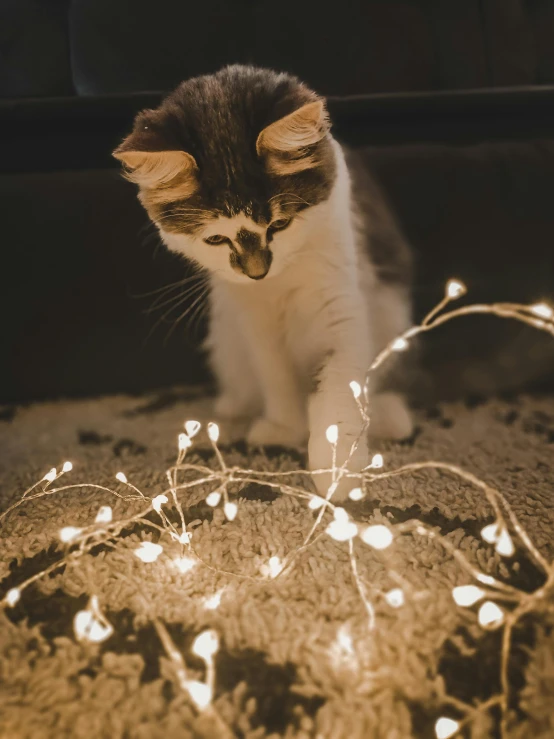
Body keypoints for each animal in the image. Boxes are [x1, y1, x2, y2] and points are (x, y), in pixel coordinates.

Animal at [114, 66, 412, 500]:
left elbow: (340, 389)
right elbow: (276, 377)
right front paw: (284, 429)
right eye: (216, 240)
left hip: (390, 314)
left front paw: (337, 470)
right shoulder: (253, 319)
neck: (279, 284)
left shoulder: (338, 303)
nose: (257, 272)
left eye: (279, 224)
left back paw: (390, 418)